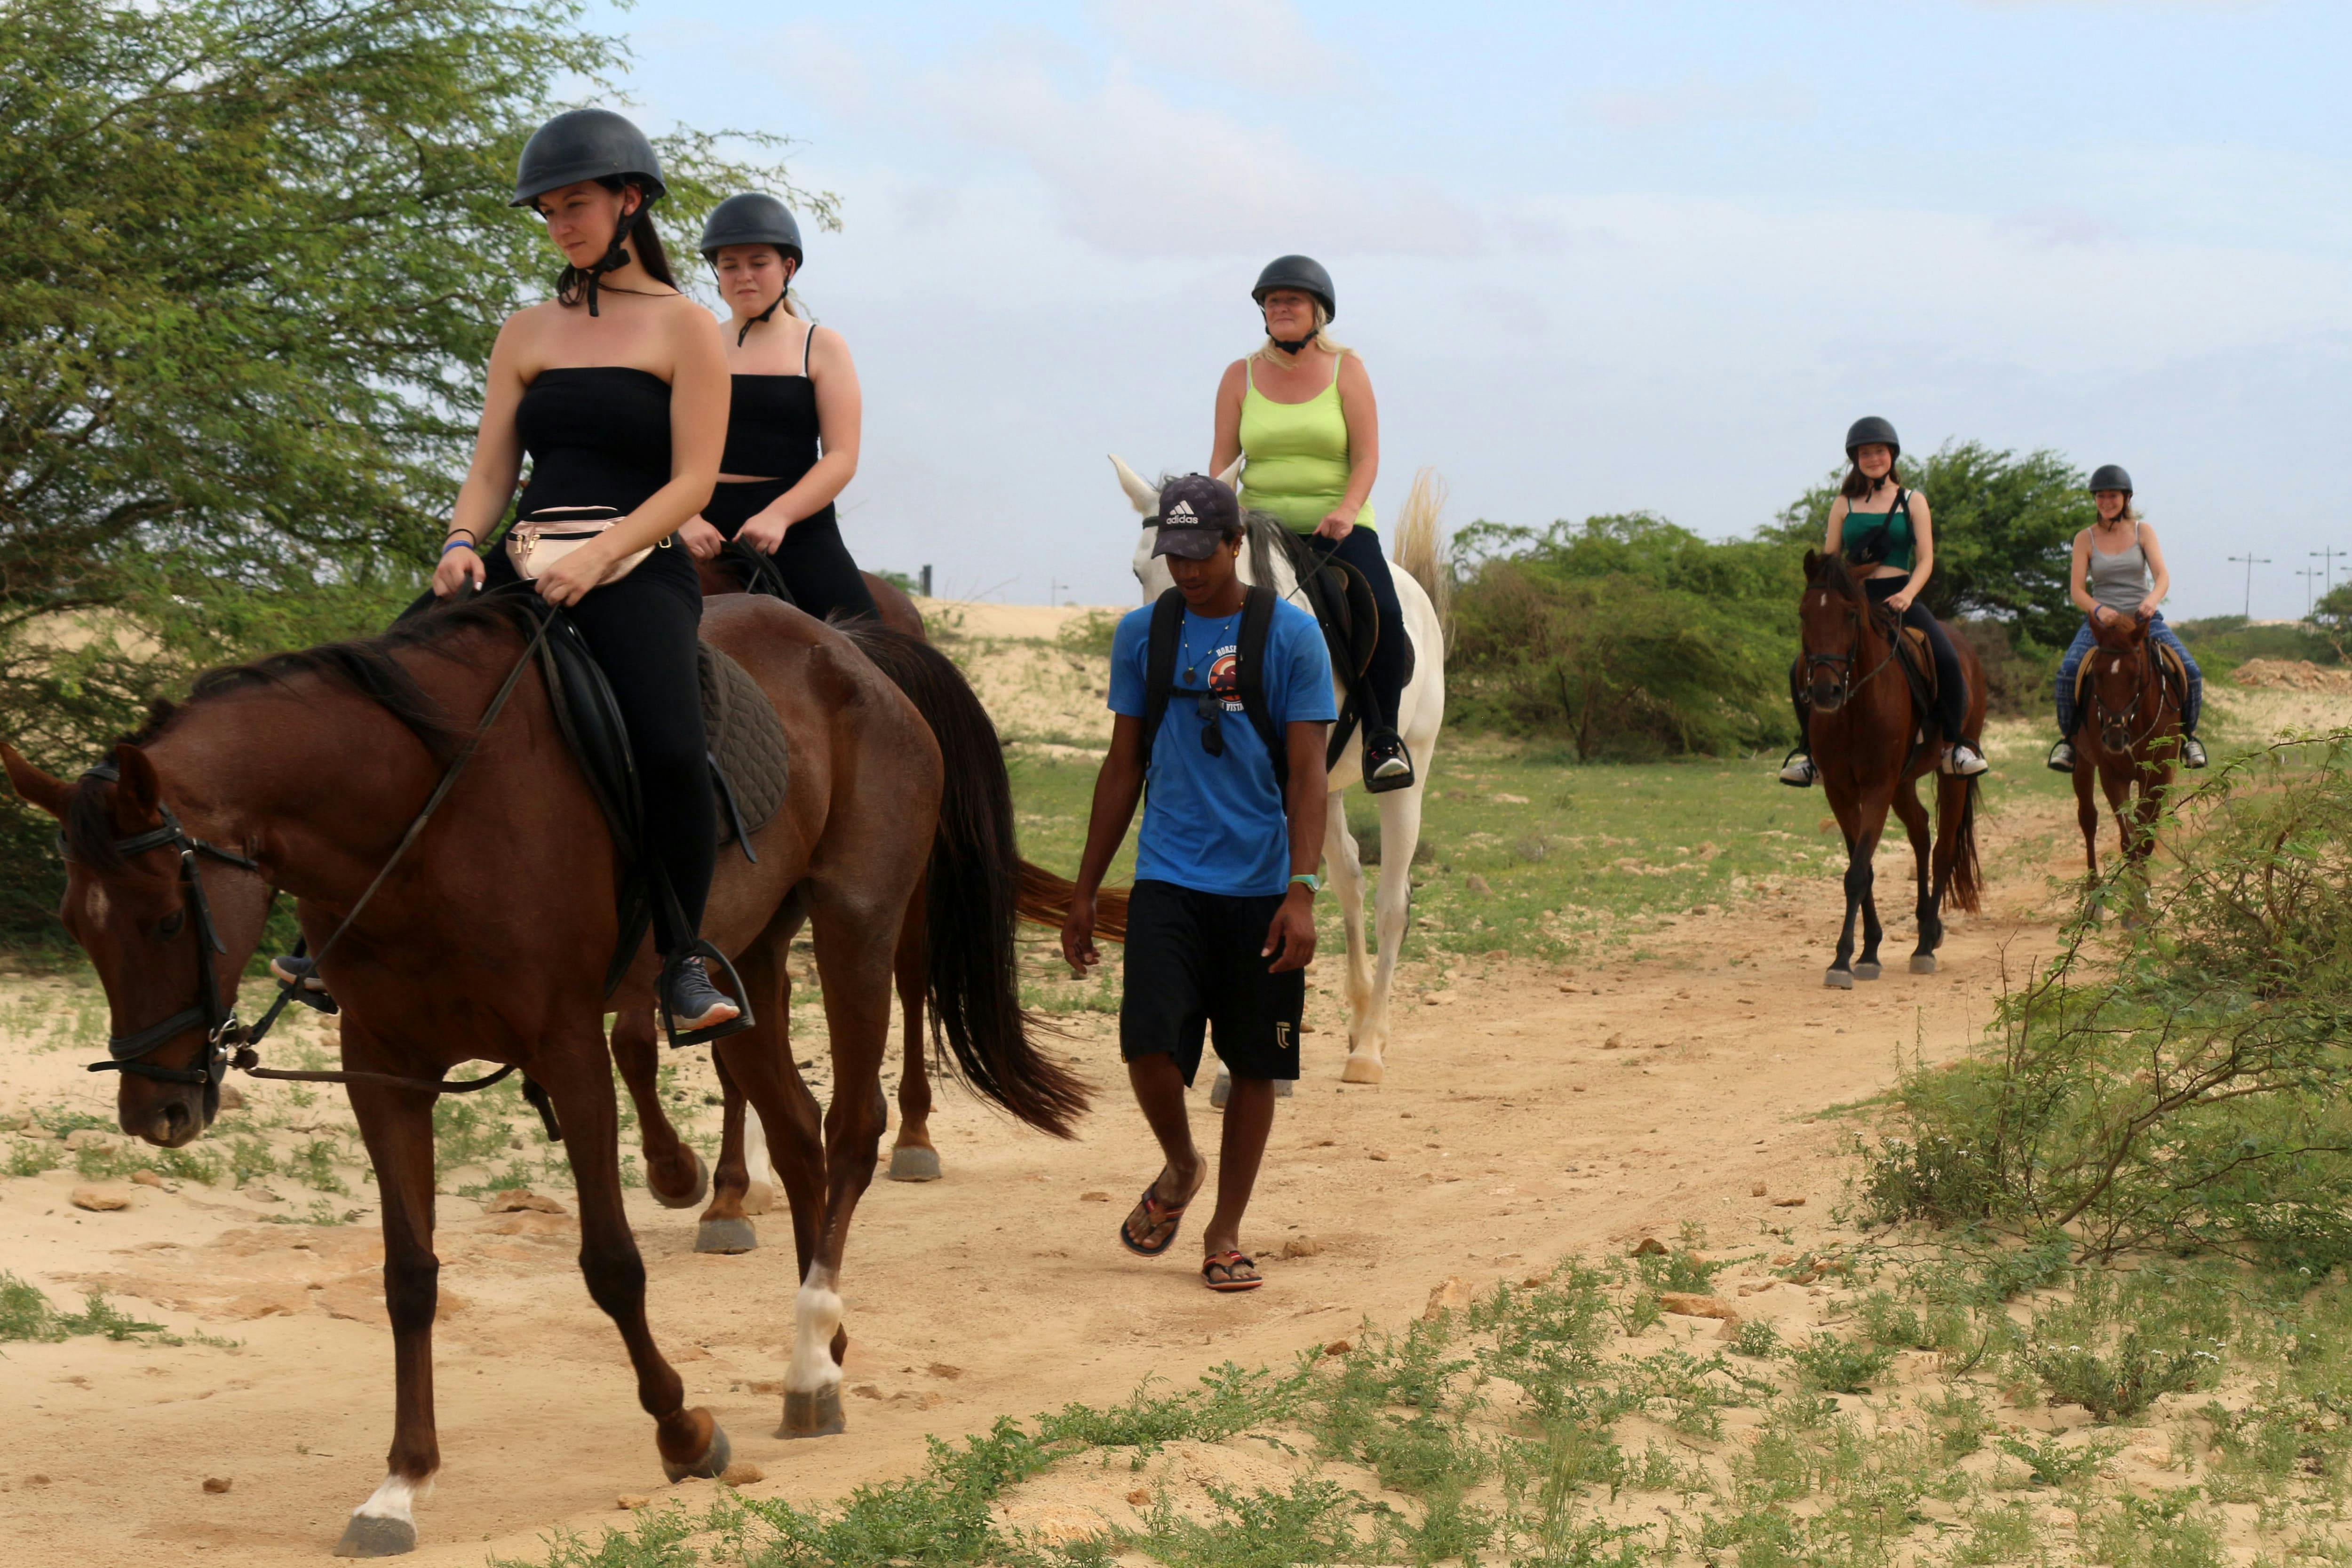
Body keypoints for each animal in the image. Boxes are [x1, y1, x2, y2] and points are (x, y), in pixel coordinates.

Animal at [0, 592, 1082, 1561]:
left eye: (165, 921)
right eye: (77, 925)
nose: (157, 1108)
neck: (419, 818)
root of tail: (850, 647)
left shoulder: (568, 1047)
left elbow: (610, 1262)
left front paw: (682, 1429)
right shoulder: (384, 1069)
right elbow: (409, 1276)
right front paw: (400, 1484)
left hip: (856, 920)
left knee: (852, 1128)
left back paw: (813, 1354)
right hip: (753, 955)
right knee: (797, 1130)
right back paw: (824, 1345)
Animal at [1105, 456, 1449, 1081]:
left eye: (1202, 564)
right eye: (1139, 569)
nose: (1161, 663)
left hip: (1408, 770)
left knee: (1391, 903)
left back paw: (1369, 1047)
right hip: (1328, 790)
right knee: (1351, 884)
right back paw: (1359, 1017)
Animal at [1797, 552, 1985, 987]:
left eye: (1851, 614)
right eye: (1803, 614)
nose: (1825, 692)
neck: (1855, 703)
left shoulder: (1878, 786)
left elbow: (1857, 871)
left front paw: (1842, 961)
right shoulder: (1841, 790)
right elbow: (1861, 866)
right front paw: (1868, 951)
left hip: (1948, 778)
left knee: (1943, 849)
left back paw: (1925, 945)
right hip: (1904, 783)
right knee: (1920, 830)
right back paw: (1927, 928)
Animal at [2079, 611, 2183, 888]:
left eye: (2136, 676)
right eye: (2097, 675)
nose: (2114, 738)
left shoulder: (2159, 774)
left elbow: (2145, 838)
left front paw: (2143, 890)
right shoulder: (2112, 776)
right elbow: (2129, 840)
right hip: (2082, 761)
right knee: (2088, 818)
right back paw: (2093, 888)